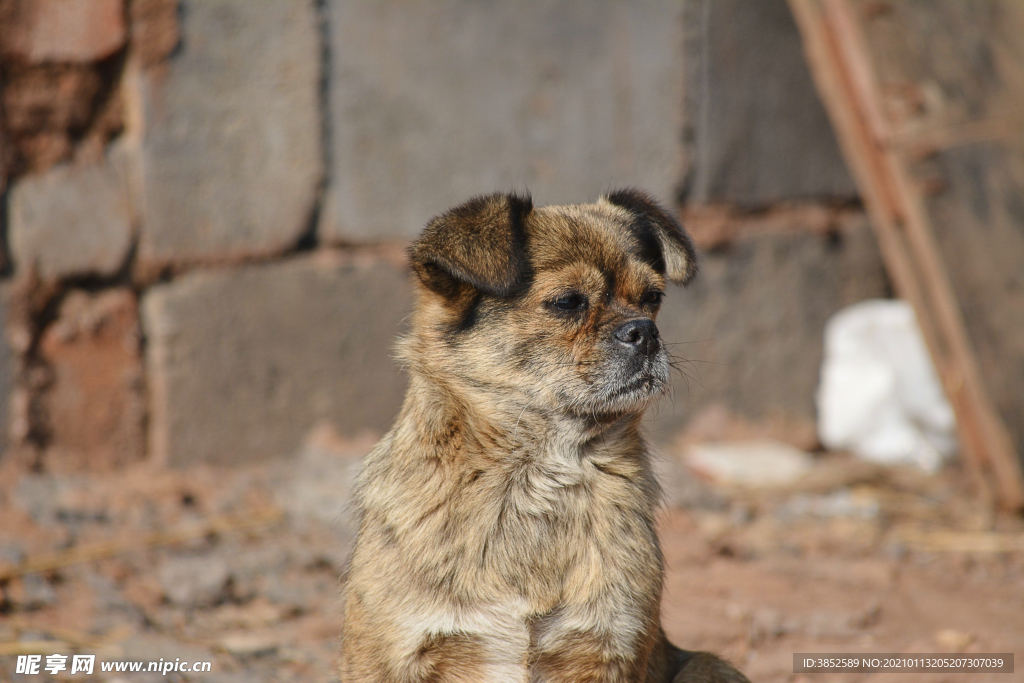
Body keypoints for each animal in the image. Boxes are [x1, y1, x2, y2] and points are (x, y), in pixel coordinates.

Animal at [339, 188, 749, 683]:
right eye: (568, 302)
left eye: (653, 298)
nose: (645, 331)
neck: (539, 474)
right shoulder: (387, 656)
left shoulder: (609, 650)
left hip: (710, 665)